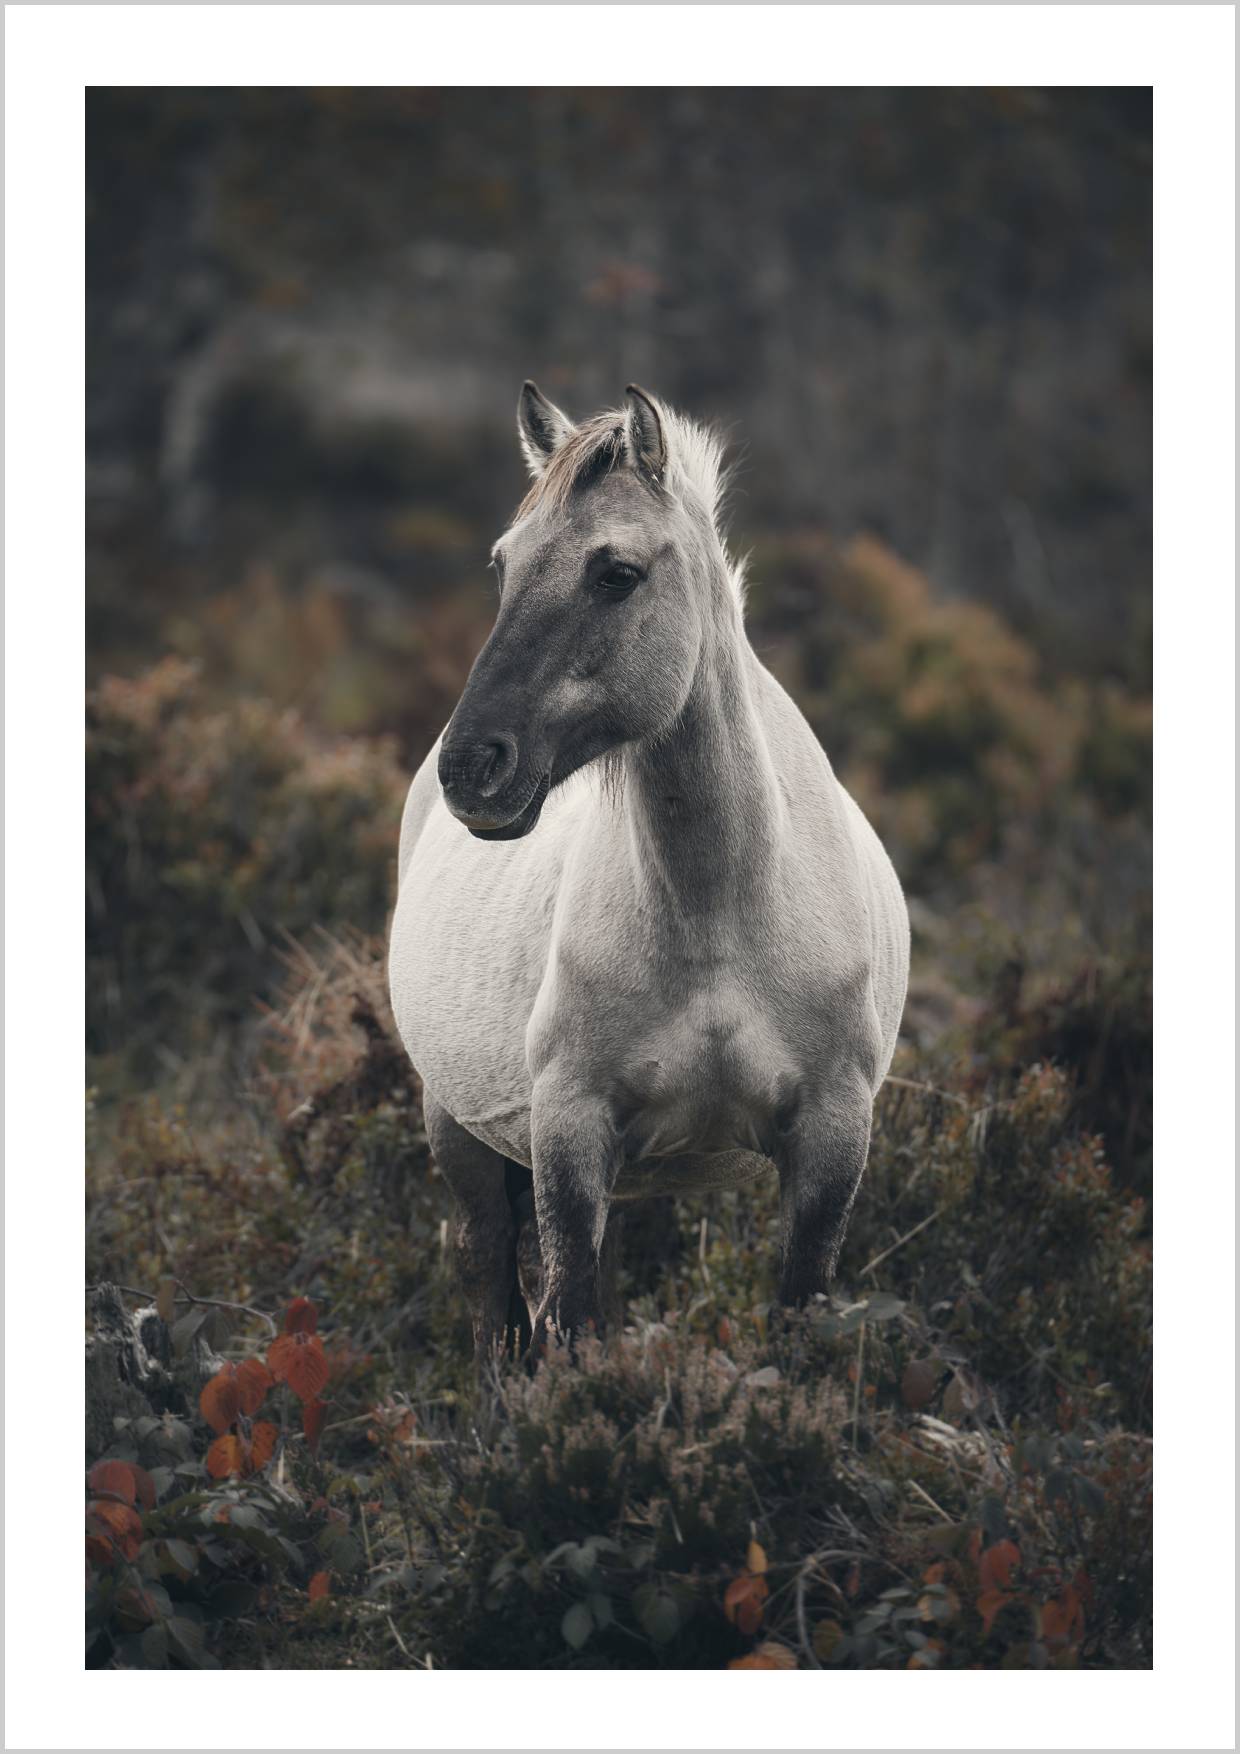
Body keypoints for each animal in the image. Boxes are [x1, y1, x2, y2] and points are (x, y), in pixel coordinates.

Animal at [388, 383, 909, 1357]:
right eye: (504, 565)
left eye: (615, 574)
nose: (470, 767)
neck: (721, 913)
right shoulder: (569, 1136)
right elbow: (566, 1323)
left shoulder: (831, 1143)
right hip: (460, 1134)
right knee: (496, 1294)